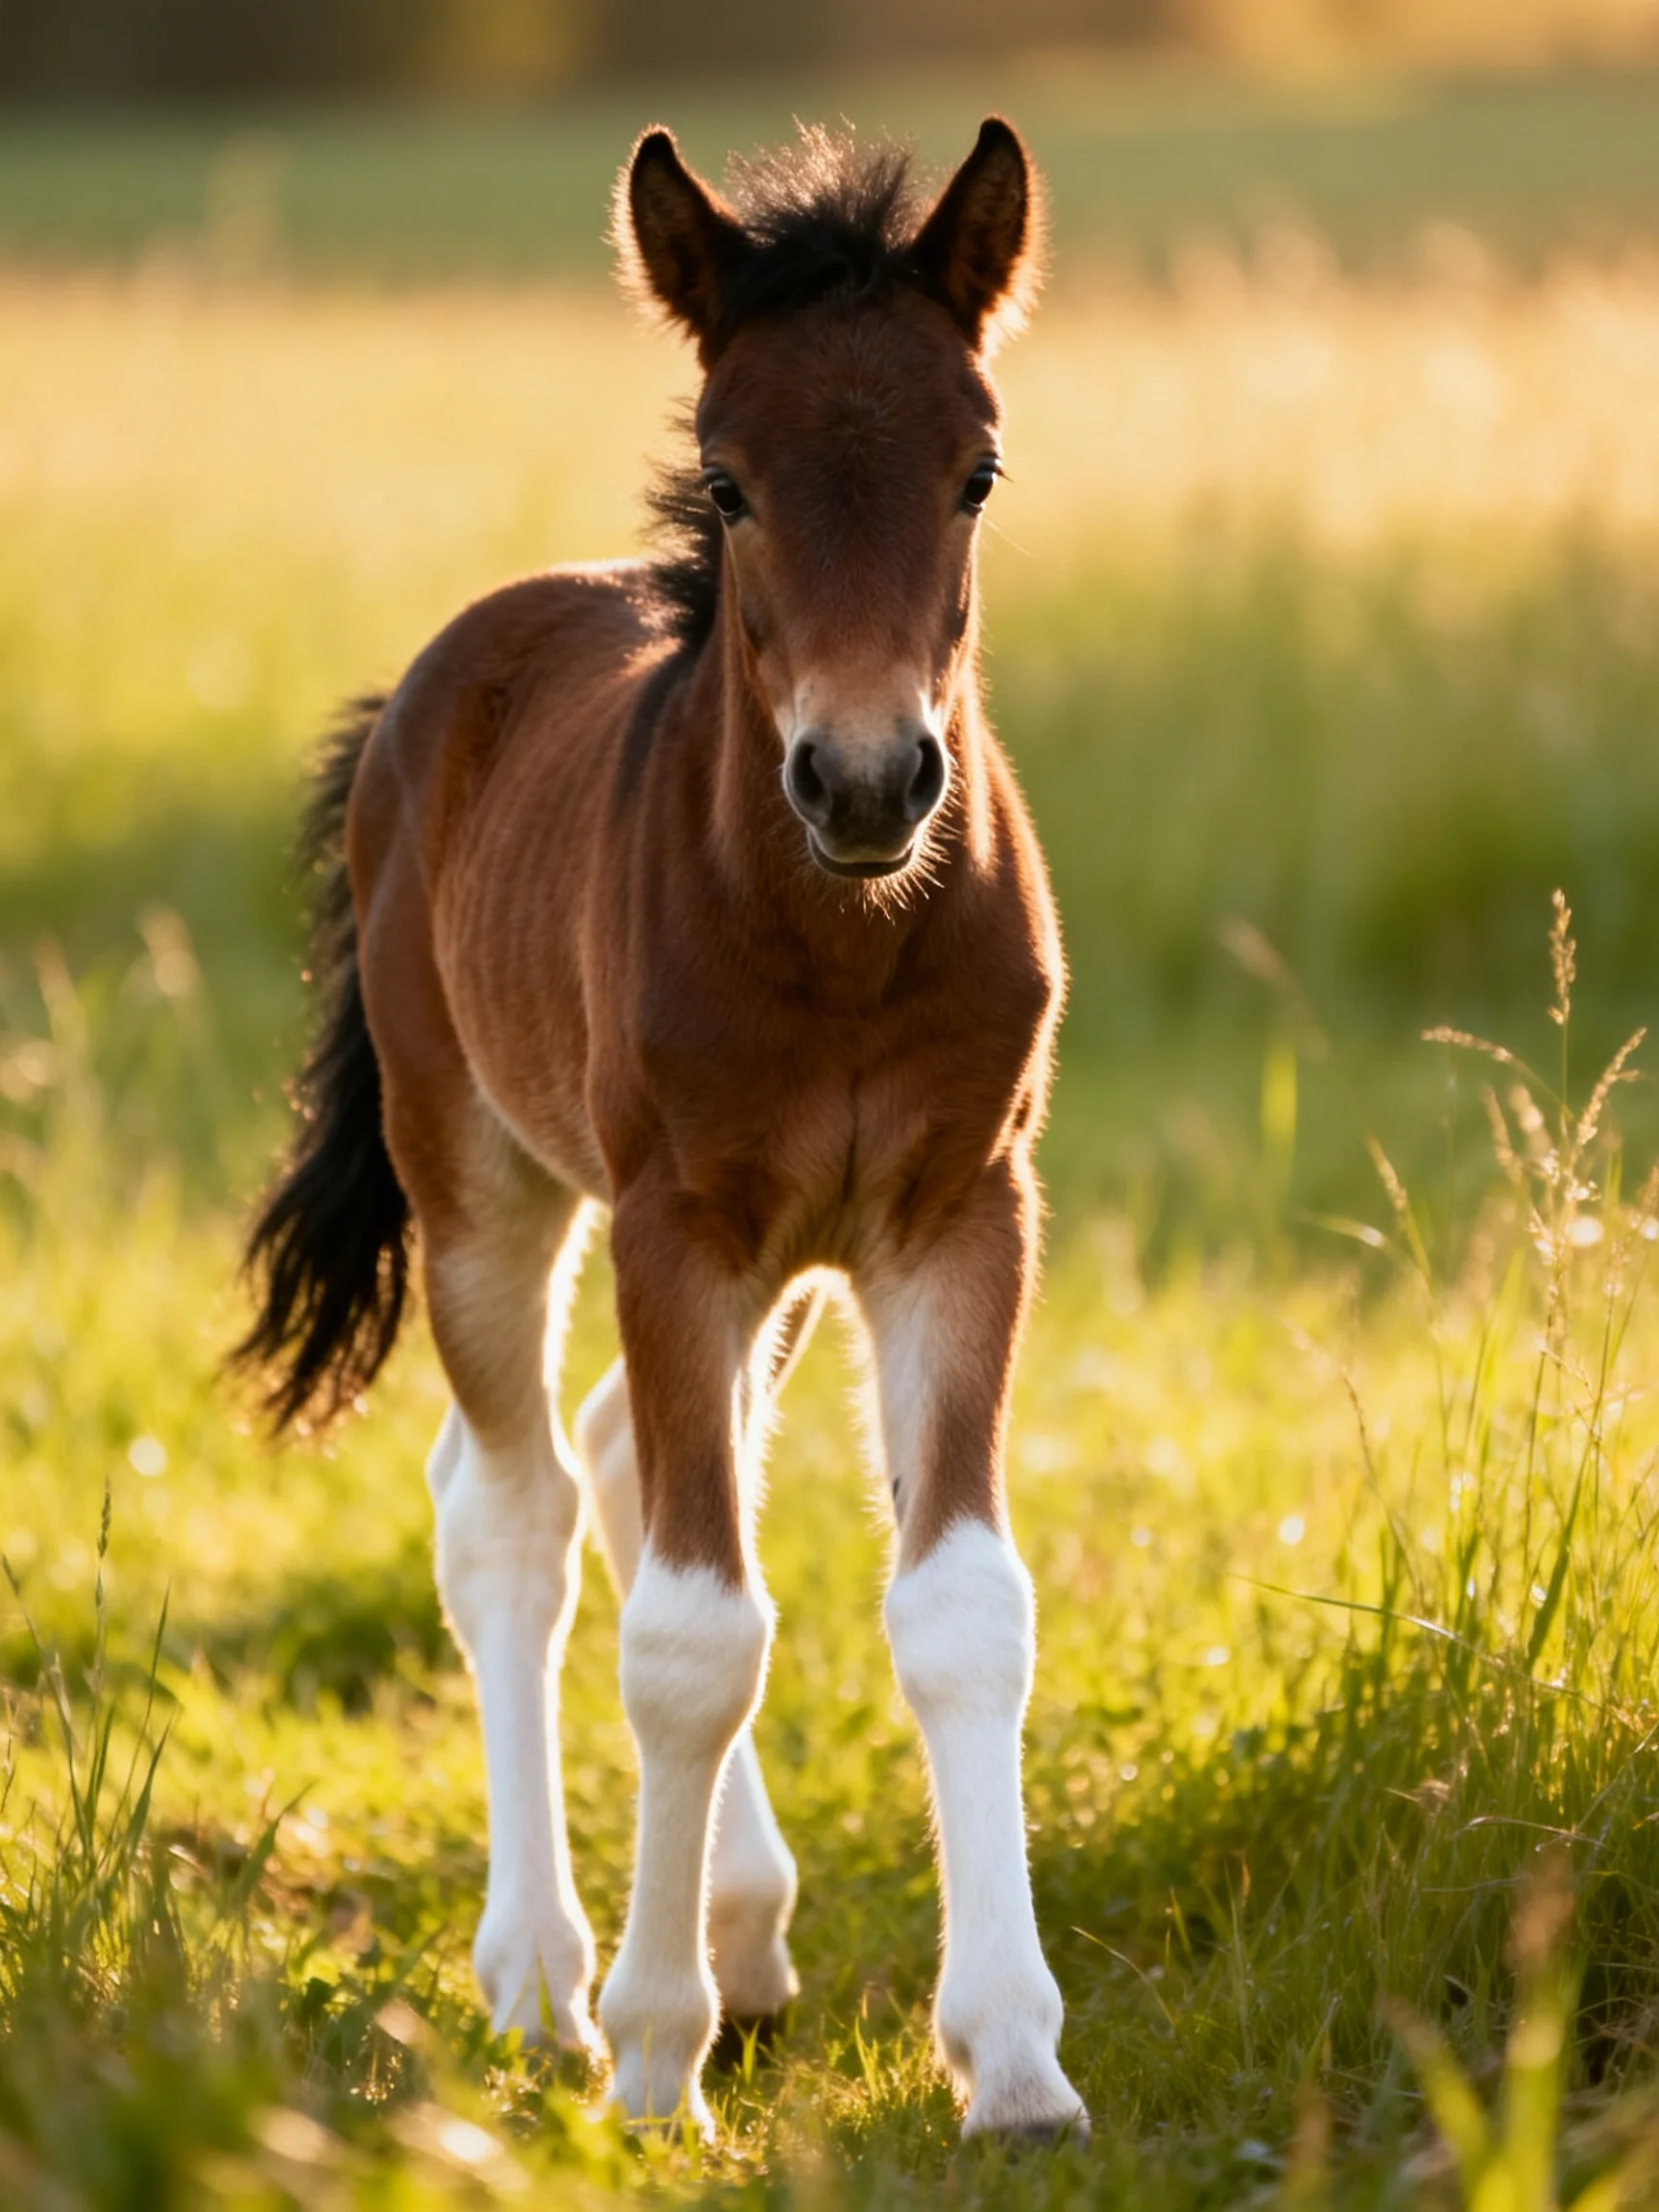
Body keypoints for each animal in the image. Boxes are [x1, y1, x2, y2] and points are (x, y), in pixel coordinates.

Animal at [235, 115, 1085, 2143]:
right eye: (728, 479)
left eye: (975, 468)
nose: (864, 779)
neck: (843, 937)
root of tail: (432, 686)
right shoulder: (671, 1220)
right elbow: (695, 1632)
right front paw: (644, 2060)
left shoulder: (955, 1212)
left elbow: (959, 1603)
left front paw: (1013, 2060)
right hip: (484, 1178)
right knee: (517, 1514)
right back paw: (544, 1972)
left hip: (772, 1262)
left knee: (626, 1451)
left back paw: (745, 1926)